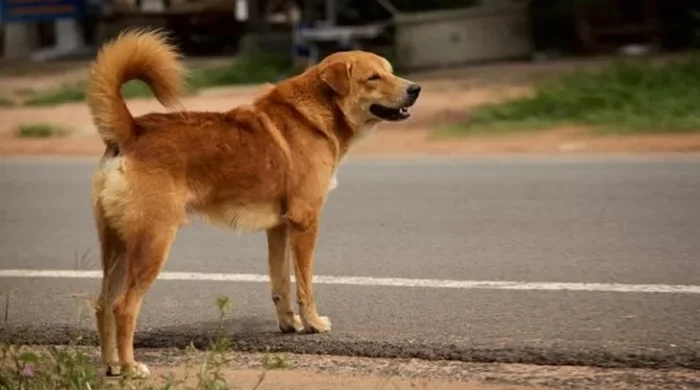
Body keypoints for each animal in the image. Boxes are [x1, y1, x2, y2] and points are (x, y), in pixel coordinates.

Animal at [87, 28, 418, 378]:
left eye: (390, 71)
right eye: (373, 77)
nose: (415, 89)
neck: (312, 116)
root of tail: (132, 131)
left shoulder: (279, 228)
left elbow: (281, 284)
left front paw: (289, 325)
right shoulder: (305, 222)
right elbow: (305, 286)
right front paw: (313, 323)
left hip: (118, 245)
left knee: (103, 304)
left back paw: (111, 365)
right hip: (153, 242)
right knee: (123, 306)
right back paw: (130, 366)